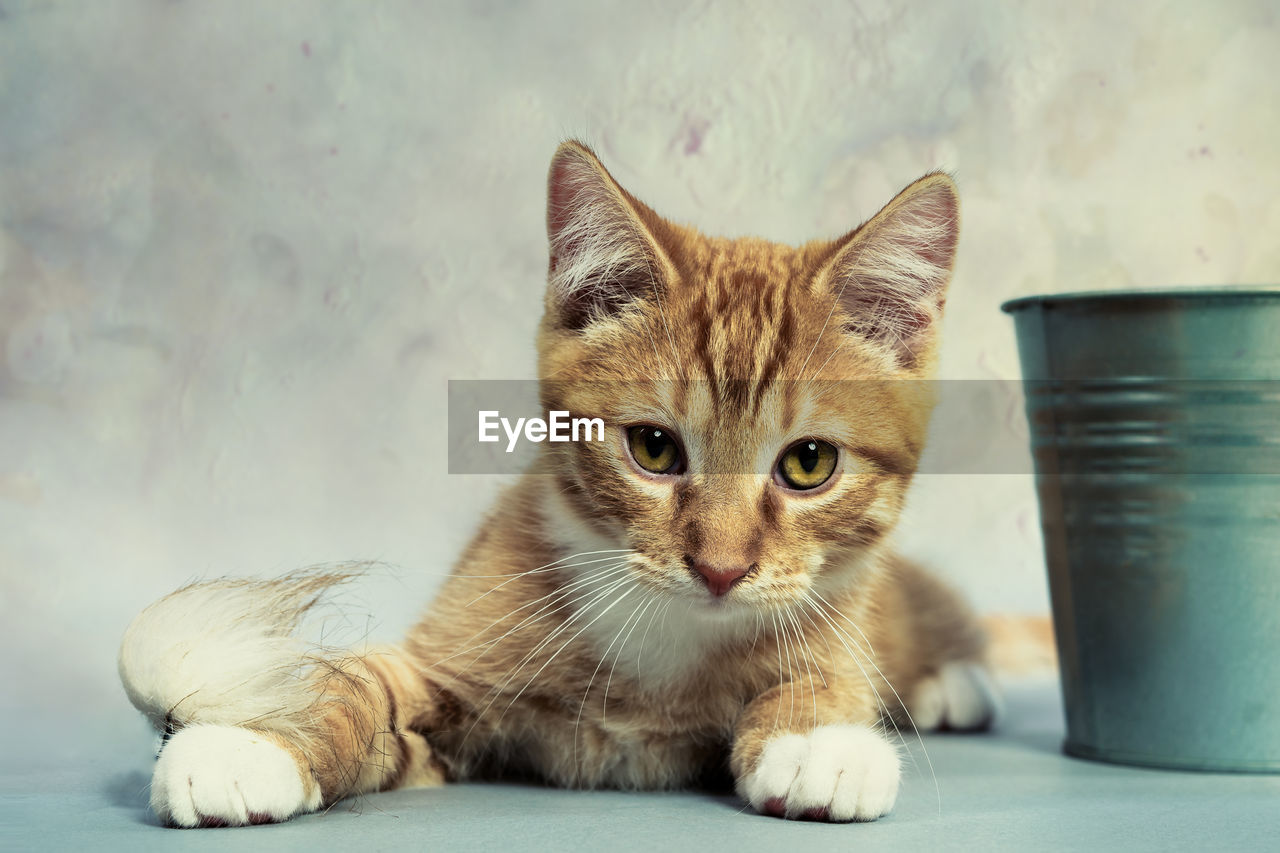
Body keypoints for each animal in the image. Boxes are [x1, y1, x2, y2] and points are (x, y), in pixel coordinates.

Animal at [120, 139, 993, 824]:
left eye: (808, 463)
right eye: (653, 448)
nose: (719, 569)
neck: (664, 641)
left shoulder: (833, 617)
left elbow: (827, 673)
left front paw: (819, 736)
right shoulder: (453, 659)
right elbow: (361, 684)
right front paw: (255, 741)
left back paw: (953, 683)